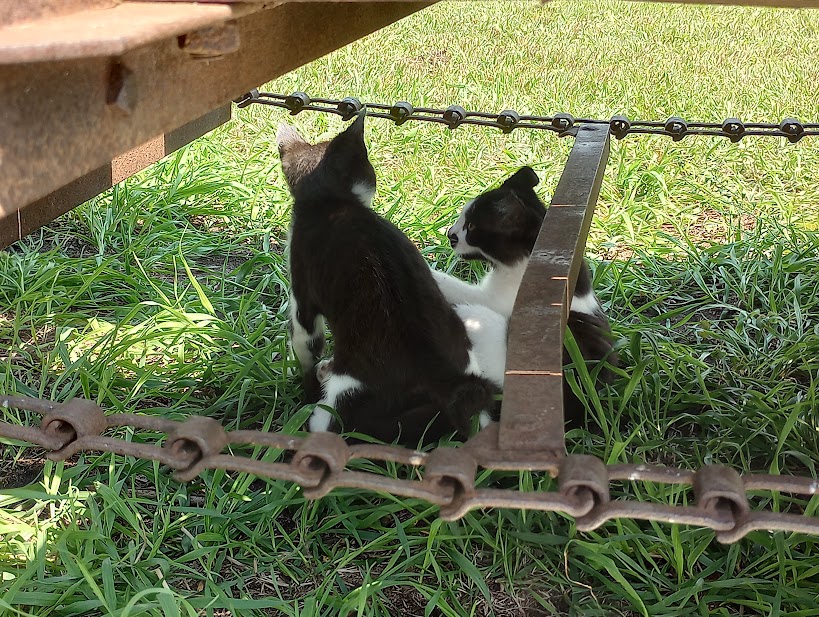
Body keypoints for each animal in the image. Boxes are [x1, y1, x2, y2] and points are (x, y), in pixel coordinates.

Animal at [277, 111, 499, 445]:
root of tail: (446, 380)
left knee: (330, 423)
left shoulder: (302, 285)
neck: (332, 202)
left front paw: (303, 384)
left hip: (345, 393)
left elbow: (305, 343)